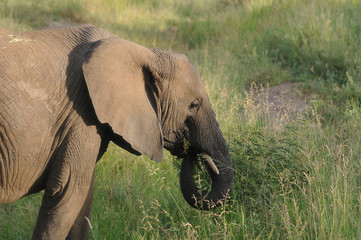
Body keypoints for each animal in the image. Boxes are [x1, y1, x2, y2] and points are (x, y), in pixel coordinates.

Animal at [0, 25, 233, 239]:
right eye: (194, 105)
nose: (191, 150)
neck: (140, 51)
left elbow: (84, 200)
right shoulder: (80, 116)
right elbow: (68, 192)